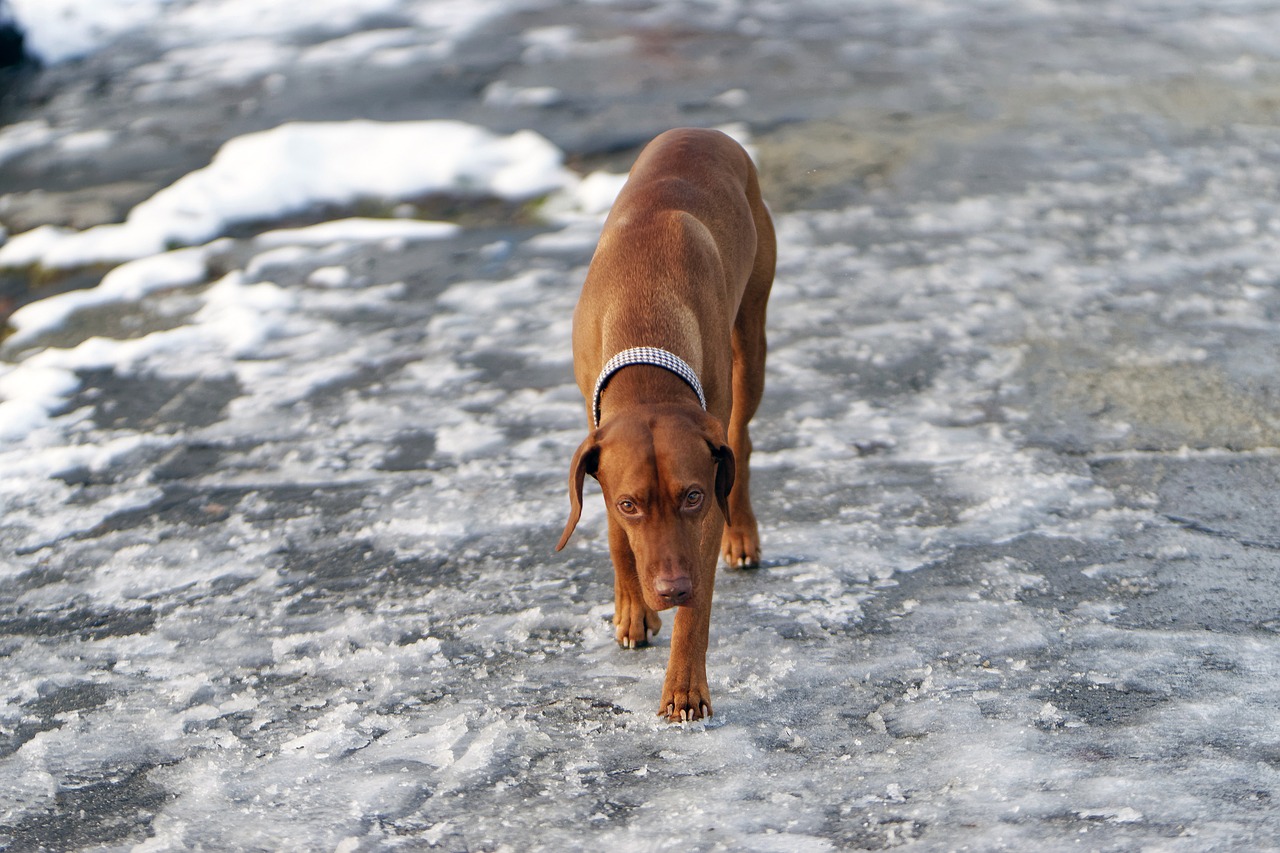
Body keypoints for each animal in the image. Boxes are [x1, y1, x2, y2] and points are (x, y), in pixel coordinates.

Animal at [555, 128, 773, 717]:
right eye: (630, 504)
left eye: (692, 496)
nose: (672, 590)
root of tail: (704, 131)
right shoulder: (598, 443)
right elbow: (614, 537)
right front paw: (633, 609)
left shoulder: (708, 489)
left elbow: (699, 609)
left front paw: (684, 687)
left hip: (751, 341)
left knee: (742, 441)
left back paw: (743, 534)